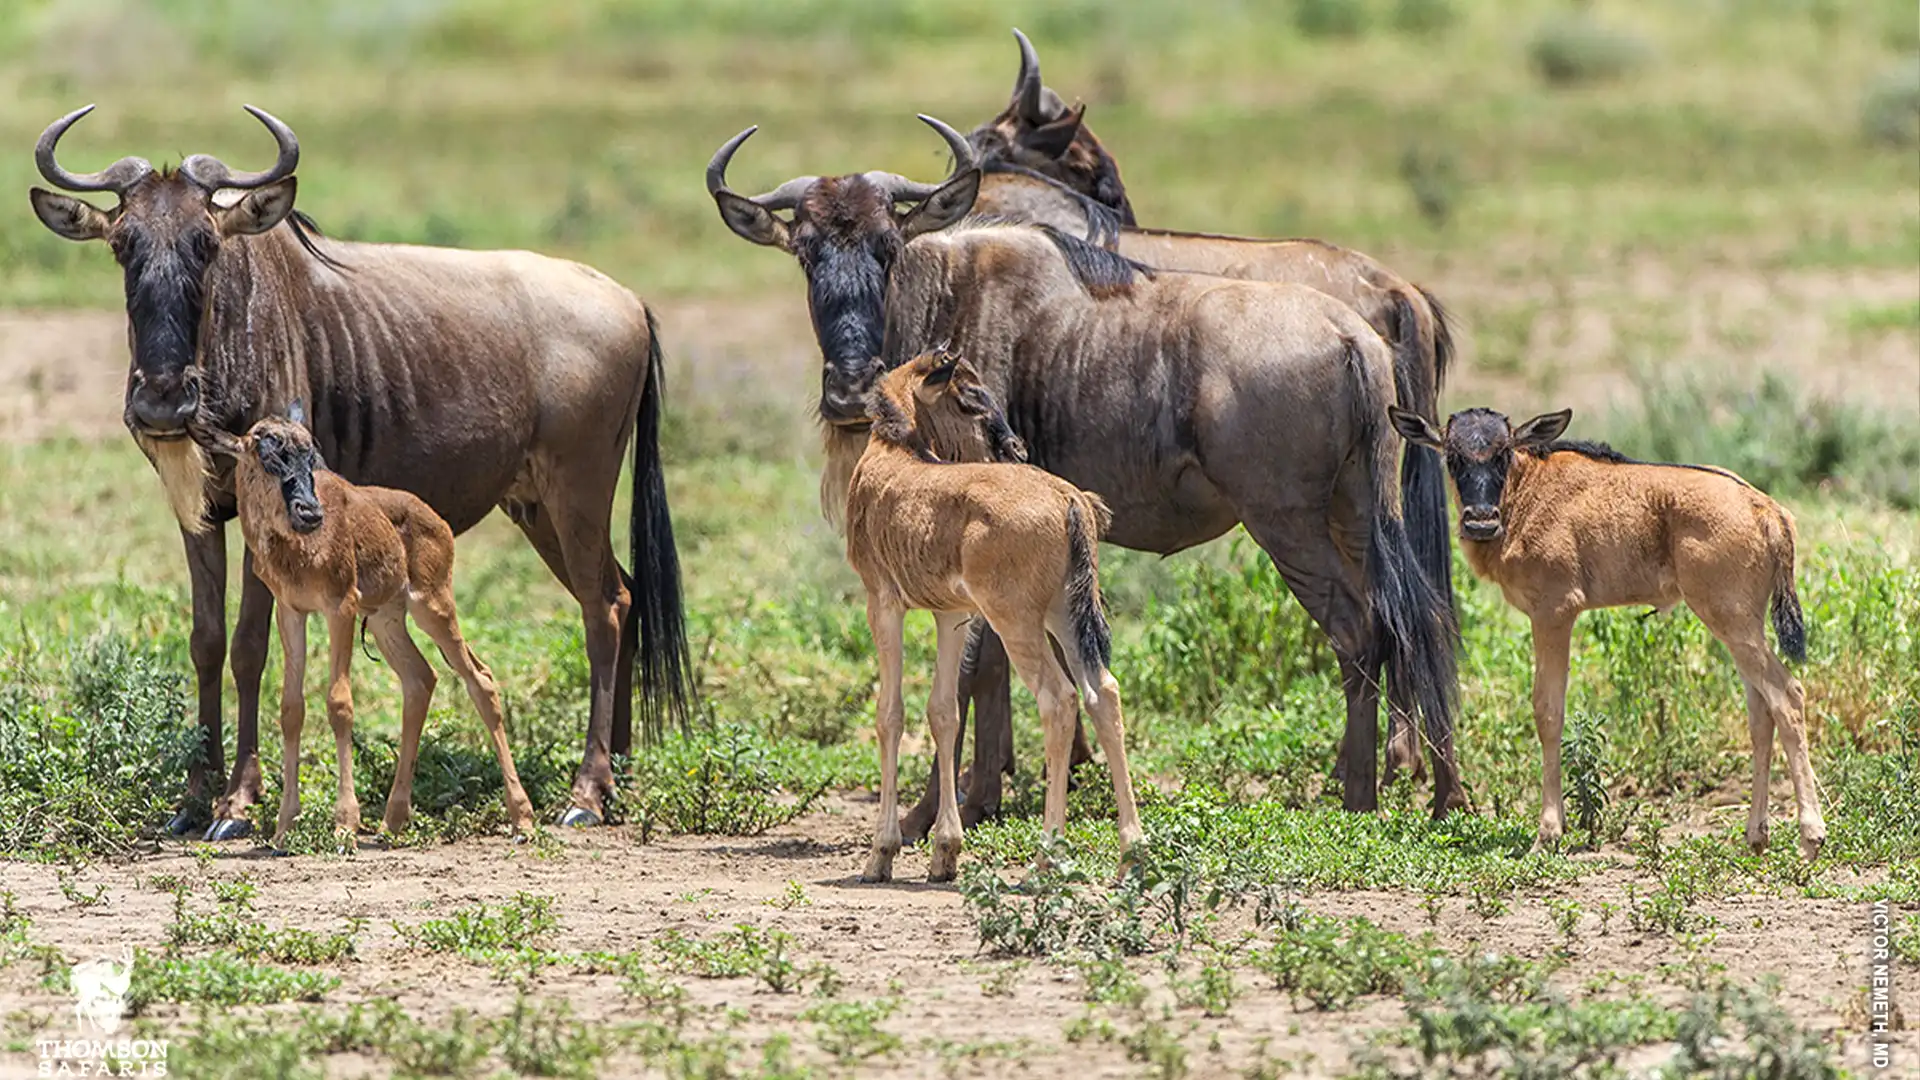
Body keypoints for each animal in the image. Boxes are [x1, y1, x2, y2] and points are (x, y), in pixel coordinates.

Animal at [193, 409, 535, 845]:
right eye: (265, 453)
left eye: (311, 457)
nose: (310, 514)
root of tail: (434, 519)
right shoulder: (292, 611)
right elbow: (291, 708)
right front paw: (284, 827)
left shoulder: (341, 607)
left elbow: (339, 703)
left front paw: (344, 824)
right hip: (387, 621)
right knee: (420, 679)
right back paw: (392, 820)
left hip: (432, 607)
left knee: (481, 680)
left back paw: (522, 819)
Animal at [708, 117, 1462, 819]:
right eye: (805, 253)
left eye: (888, 248)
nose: (848, 390)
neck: (950, 295)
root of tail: (1356, 333)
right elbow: (996, 668)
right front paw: (988, 797)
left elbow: (973, 669)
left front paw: (936, 813)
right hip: (1358, 514)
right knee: (1410, 621)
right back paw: (1435, 794)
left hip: (1287, 524)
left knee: (1357, 630)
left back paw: (1358, 796)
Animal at [846, 351, 1140, 882]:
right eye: (970, 398)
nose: (1015, 447)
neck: (893, 452)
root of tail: (1069, 500)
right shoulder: (953, 616)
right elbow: (943, 711)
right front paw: (944, 853)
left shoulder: (883, 602)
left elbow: (890, 713)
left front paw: (881, 854)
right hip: (1064, 615)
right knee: (1102, 693)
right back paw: (1132, 853)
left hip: (1017, 620)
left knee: (1059, 699)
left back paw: (1047, 855)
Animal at [1388, 405, 1826, 859]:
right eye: (1452, 456)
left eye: (1503, 453)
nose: (1479, 522)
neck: (1524, 491)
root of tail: (1766, 508)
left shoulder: (1554, 612)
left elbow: (1548, 712)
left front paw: (1548, 833)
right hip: (1740, 626)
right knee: (1762, 712)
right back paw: (1756, 835)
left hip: (1731, 621)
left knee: (1788, 696)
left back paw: (1810, 834)